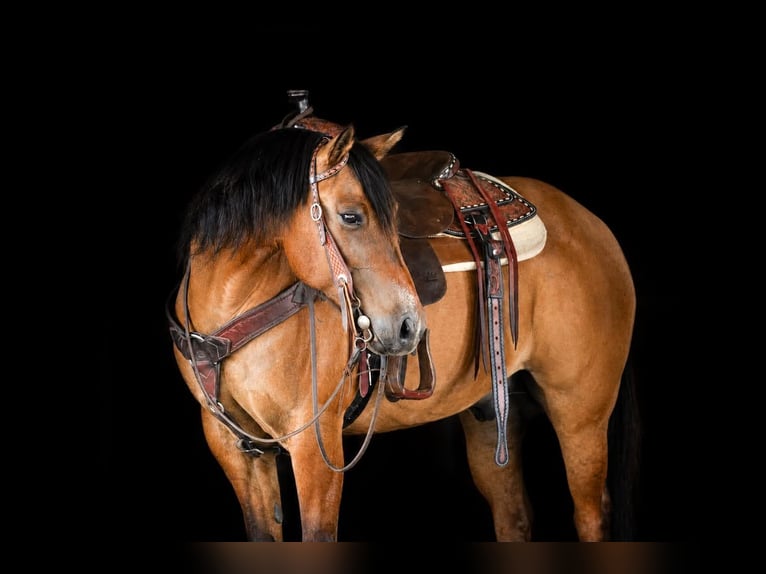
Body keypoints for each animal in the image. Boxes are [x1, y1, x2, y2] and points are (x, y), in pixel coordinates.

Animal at [167, 96, 639, 542]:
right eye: (351, 216)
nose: (409, 326)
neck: (235, 305)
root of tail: (593, 226)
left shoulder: (314, 447)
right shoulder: (235, 447)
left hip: (580, 414)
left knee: (590, 515)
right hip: (491, 417)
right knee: (513, 517)